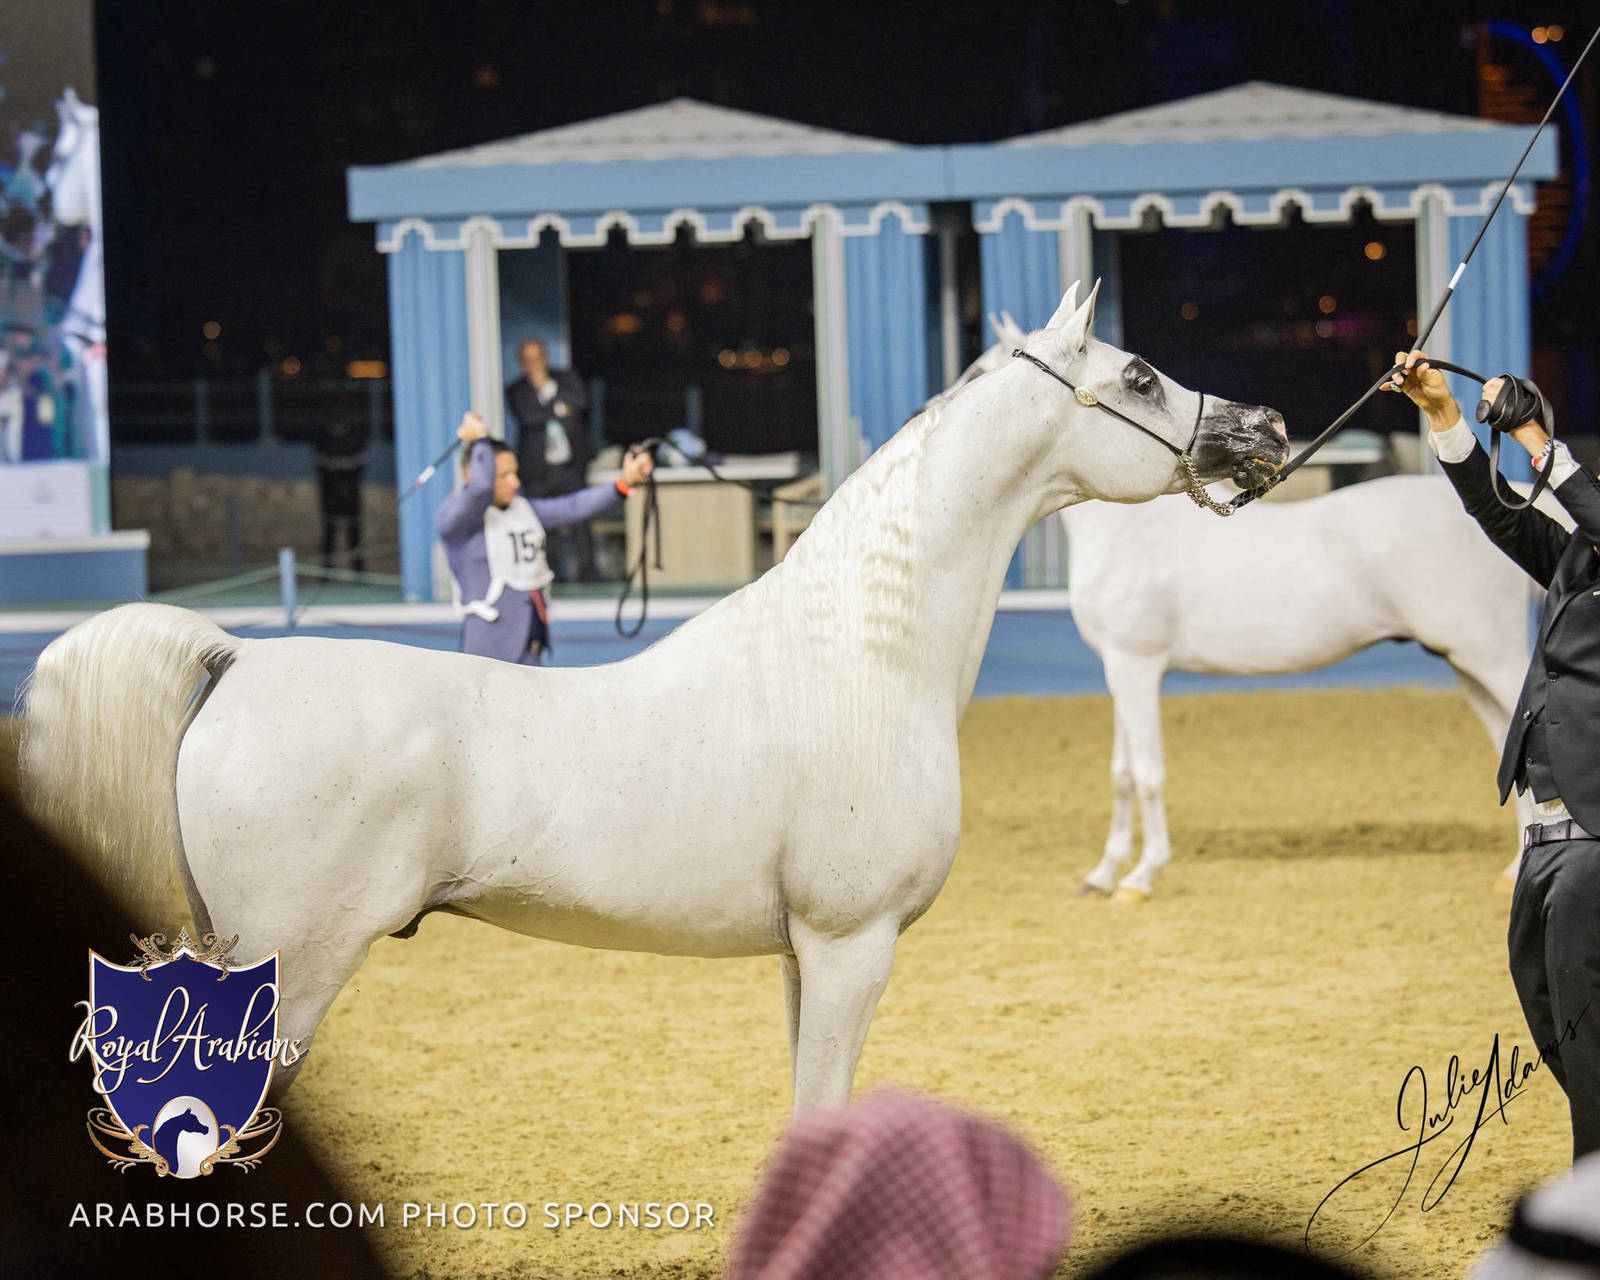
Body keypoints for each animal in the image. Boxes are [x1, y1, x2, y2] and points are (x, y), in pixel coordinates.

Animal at [22, 282, 1288, 1111]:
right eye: (1136, 375)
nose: (1267, 430)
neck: (860, 658)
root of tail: (237, 657)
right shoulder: (851, 943)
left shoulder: (801, 955)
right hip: (286, 974)